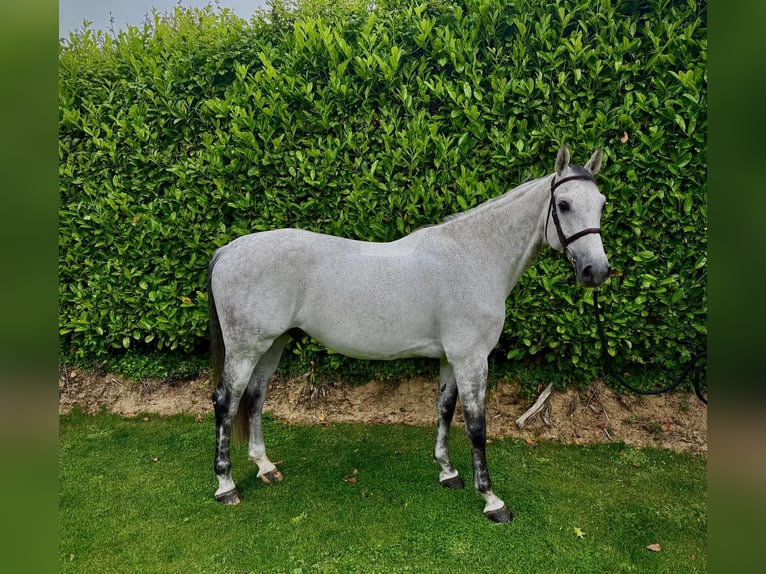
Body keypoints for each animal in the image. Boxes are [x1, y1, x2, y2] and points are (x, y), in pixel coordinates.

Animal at [207, 144, 609, 522]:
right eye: (564, 204)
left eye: (602, 203)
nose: (597, 271)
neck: (475, 258)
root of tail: (229, 249)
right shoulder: (472, 359)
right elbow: (476, 426)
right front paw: (492, 500)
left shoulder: (451, 358)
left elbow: (445, 409)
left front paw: (448, 472)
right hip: (245, 347)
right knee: (226, 402)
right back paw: (226, 486)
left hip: (272, 343)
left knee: (255, 397)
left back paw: (265, 467)